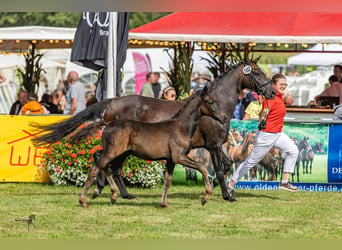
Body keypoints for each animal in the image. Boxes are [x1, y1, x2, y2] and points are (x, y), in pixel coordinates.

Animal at [77, 86, 227, 207]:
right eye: (210, 102)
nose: (224, 117)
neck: (181, 127)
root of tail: (106, 124)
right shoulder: (179, 157)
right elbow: (203, 168)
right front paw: (205, 198)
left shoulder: (170, 160)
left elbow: (168, 180)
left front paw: (164, 203)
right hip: (113, 151)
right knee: (95, 168)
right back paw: (84, 201)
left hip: (116, 152)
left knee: (103, 164)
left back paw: (113, 195)